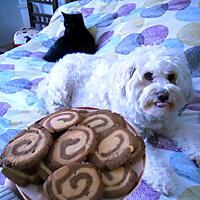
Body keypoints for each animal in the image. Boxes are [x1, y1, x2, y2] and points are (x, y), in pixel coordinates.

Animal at [37, 45, 200, 195]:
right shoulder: (133, 131)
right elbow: (151, 160)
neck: (149, 115)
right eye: (148, 75)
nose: (163, 95)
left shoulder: (171, 123)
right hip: (61, 86)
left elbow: (189, 135)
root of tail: (63, 59)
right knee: (54, 104)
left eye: (171, 76)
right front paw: (162, 179)